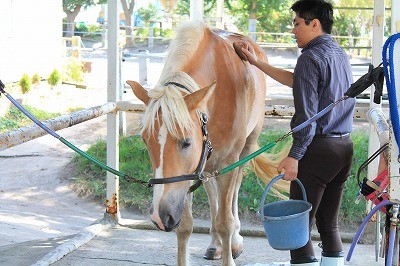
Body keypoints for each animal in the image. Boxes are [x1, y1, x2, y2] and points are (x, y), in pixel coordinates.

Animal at [127, 21, 288, 266]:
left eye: (186, 142)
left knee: (233, 194)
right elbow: (185, 226)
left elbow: (225, 221)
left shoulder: (228, 161)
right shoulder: (187, 174)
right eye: (146, 140)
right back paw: (215, 244)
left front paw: (230, 248)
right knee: (213, 194)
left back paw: (234, 241)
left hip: (245, 149)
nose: (159, 216)